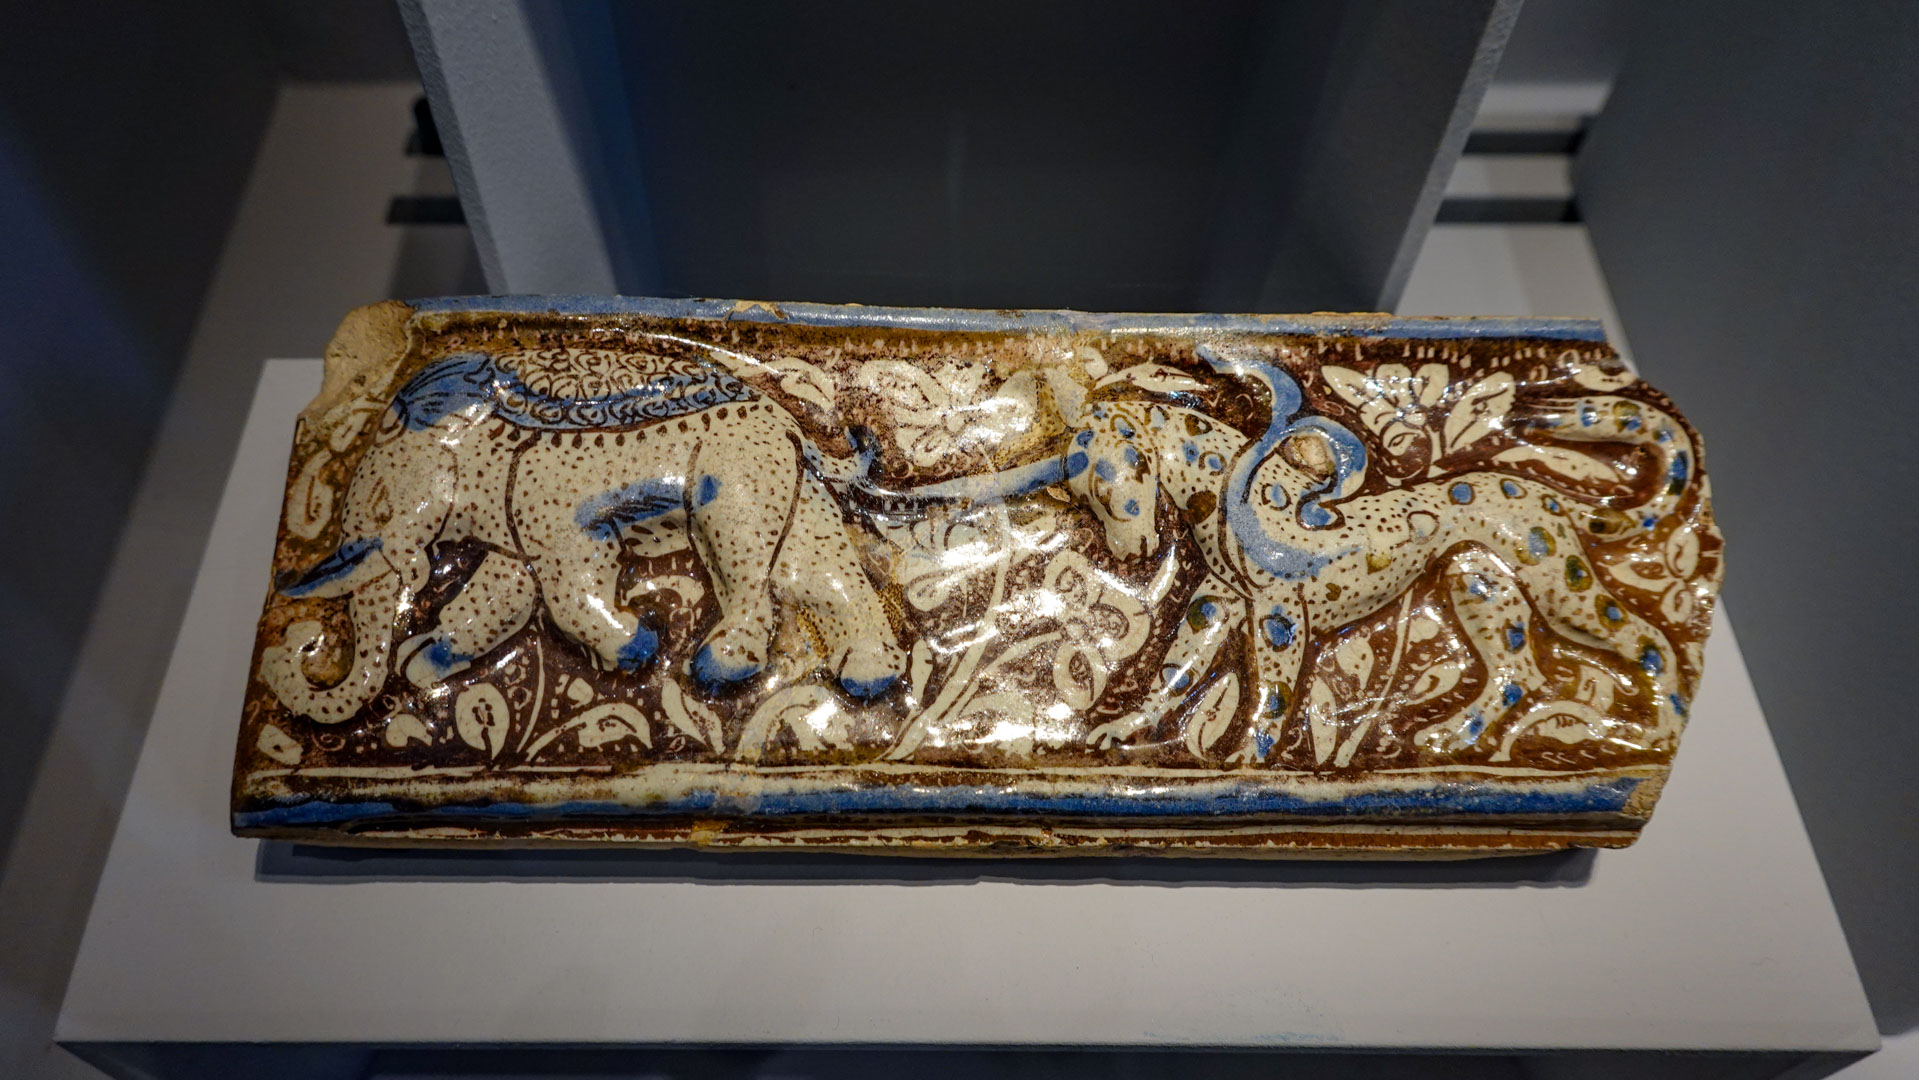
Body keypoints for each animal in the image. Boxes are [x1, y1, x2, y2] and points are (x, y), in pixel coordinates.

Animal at [263, 348, 907, 724]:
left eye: (380, 500)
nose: (299, 644)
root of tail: (791, 421)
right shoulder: (514, 519)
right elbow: (504, 590)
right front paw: (427, 663)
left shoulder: (543, 492)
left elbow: (570, 581)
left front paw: (637, 647)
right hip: (788, 485)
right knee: (815, 572)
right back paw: (871, 677)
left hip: (736, 475)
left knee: (747, 564)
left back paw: (718, 670)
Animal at [880, 347, 1698, 765]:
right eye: (1081, 490)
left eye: (1122, 477)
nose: (1130, 549)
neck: (1228, 498)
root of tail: (1554, 495)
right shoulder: (1216, 602)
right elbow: (1175, 670)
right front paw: (1125, 729)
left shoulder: (1280, 617)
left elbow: (1271, 694)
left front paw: (1253, 757)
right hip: (1477, 580)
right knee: (1518, 673)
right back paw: (1451, 737)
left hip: (1554, 585)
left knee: (1644, 639)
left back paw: (1650, 727)